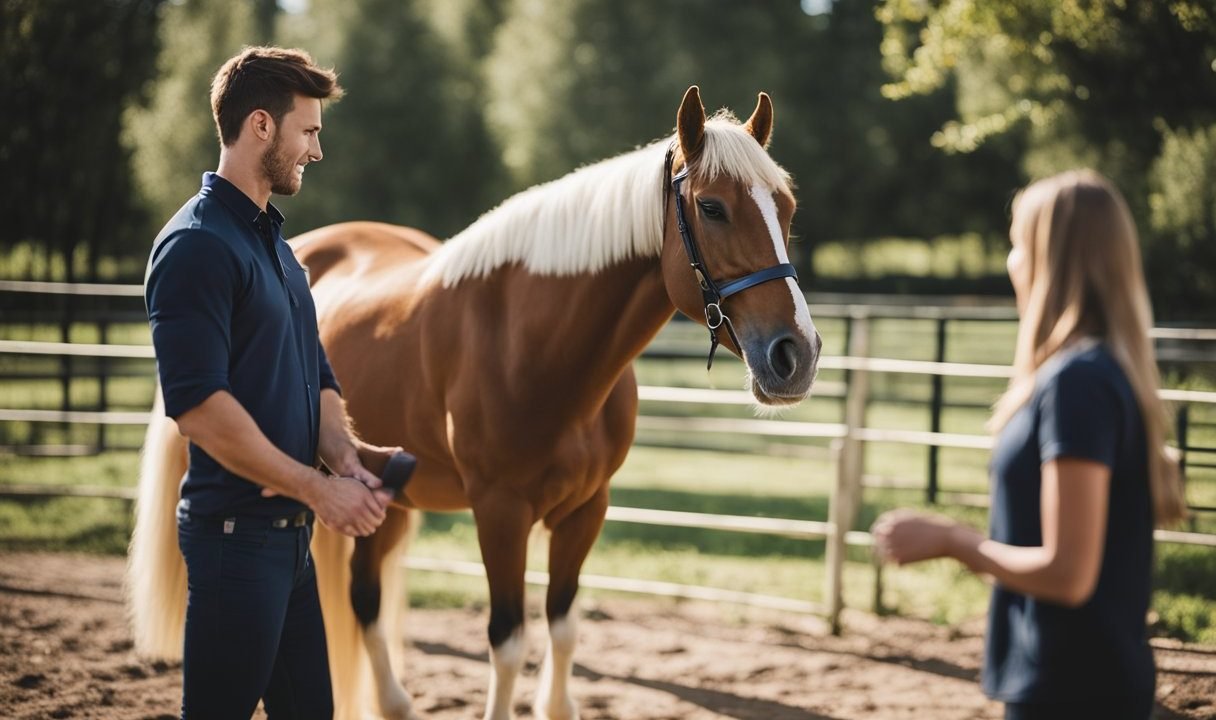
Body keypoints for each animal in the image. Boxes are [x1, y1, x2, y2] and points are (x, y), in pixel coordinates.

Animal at [128, 88, 822, 720]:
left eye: (787, 207)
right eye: (712, 207)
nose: (798, 355)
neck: (537, 346)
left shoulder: (585, 511)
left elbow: (564, 628)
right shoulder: (500, 512)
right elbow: (508, 640)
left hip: (387, 498)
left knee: (364, 601)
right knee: (362, 604)